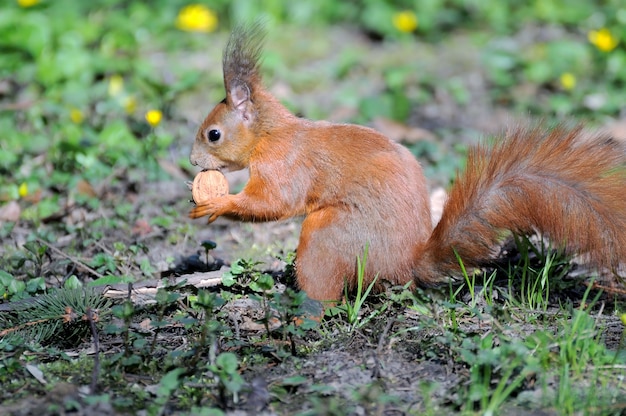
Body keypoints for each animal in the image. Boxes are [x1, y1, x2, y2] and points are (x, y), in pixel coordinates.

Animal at [188, 23, 624, 302]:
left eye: (214, 134)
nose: (192, 162)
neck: (270, 134)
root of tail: (408, 264)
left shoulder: (285, 165)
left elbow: (274, 202)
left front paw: (217, 204)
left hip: (330, 236)